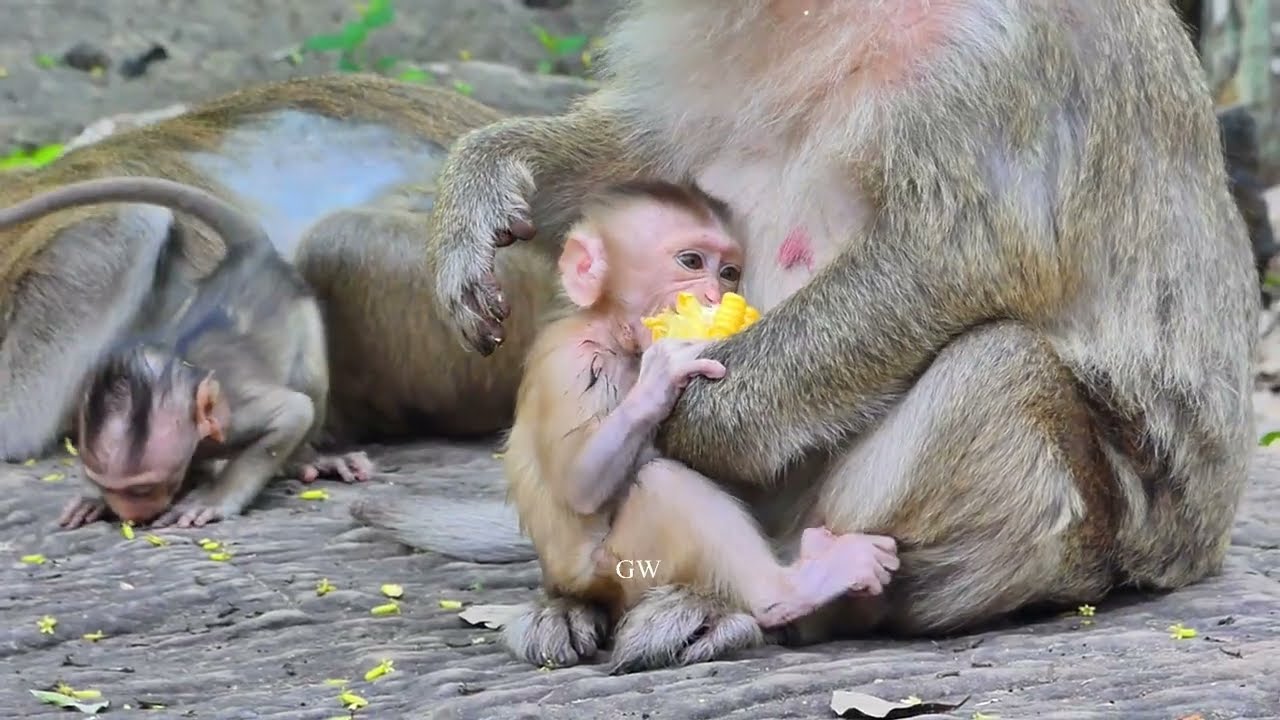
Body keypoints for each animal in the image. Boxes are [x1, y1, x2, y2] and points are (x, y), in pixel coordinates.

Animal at [502, 180, 898, 645]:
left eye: (729, 272)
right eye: (691, 261)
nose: (716, 294)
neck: (616, 335)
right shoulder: (572, 360)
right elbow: (579, 481)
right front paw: (663, 375)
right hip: (624, 571)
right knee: (663, 483)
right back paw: (790, 590)